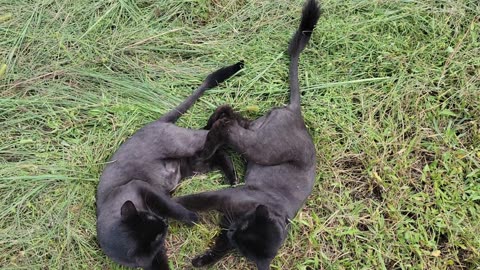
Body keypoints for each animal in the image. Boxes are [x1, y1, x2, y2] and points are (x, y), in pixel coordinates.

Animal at [96, 61, 244, 270]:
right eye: (158, 235)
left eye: (153, 220)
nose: (164, 223)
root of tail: (156, 122)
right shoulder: (154, 255)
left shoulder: (141, 188)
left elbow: (174, 208)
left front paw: (194, 219)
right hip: (194, 163)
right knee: (218, 153)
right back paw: (233, 180)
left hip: (185, 144)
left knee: (212, 134)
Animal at [174, 1, 320, 268]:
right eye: (242, 228)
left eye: (241, 241)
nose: (232, 231)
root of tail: (295, 113)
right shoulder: (222, 197)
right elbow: (194, 200)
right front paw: (168, 203)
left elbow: (219, 249)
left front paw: (204, 260)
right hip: (261, 147)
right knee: (228, 126)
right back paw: (207, 145)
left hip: (255, 134)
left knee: (229, 115)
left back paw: (210, 125)